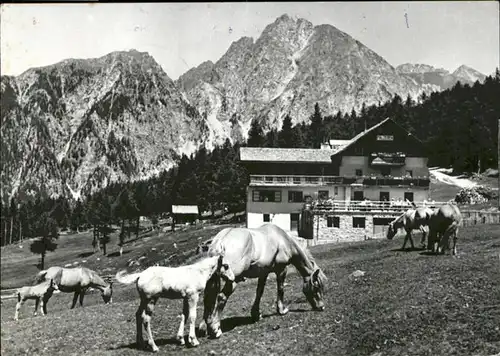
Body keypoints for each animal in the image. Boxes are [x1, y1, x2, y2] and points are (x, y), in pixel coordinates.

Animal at [199, 224, 328, 338]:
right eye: (317, 287)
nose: (322, 307)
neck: (283, 239)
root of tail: (221, 240)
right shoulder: (282, 270)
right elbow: (280, 289)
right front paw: (282, 310)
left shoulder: (263, 273)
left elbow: (259, 292)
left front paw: (256, 314)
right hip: (232, 280)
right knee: (221, 297)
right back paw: (215, 329)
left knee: (208, 298)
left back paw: (205, 326)